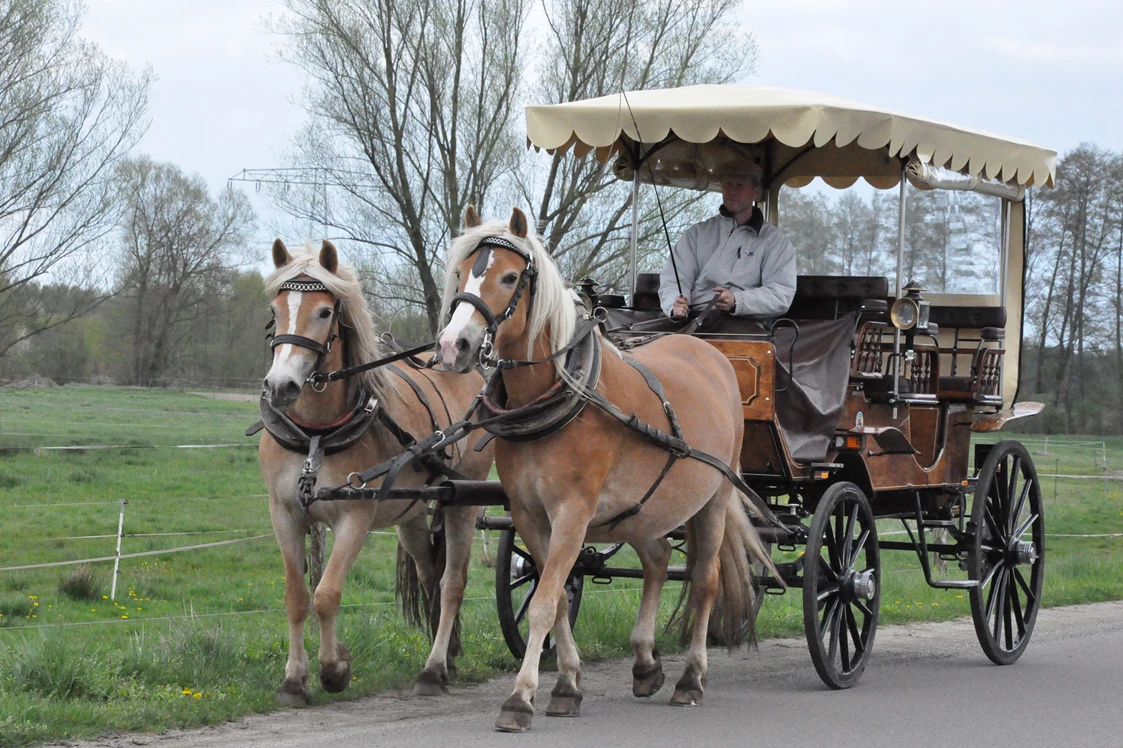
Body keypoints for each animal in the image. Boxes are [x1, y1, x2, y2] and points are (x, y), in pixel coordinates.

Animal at [262, 236, 496, 700]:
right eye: (276, 310)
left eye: (324, 312)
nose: (281, 387)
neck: (316, 435)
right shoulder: (285, 513)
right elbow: (296, 597)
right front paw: (294, 679)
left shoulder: (355, 515)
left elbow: (327, 594)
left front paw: (334, 668)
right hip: (411, 516)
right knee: (430, 577)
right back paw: (447, 656)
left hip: (464, 500)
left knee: (452, 582)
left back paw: (434, 669)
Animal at [433, 204, 777, 727]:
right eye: (461, 272)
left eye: (510, 277)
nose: (455, 345)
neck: (560, 395)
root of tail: (707, 349)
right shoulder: (529, 514)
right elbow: (553, 597)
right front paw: (567, 685)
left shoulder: (573, 512)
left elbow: (544, 601)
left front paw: (521, 698)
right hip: (645, 508)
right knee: (658, 560)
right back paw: (645, 663)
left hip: (714, 498)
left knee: (705, 580)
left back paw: (690, 677)